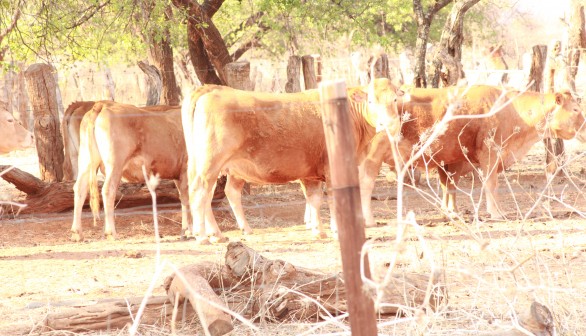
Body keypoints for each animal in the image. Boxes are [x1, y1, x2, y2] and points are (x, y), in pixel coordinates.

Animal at [70, 101, 196, 240]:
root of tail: (103, 105)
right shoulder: (186, 170)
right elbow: (188, 198)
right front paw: (191, 231)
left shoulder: (178, 174)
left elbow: (183, 198)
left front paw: (185, 230)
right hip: (115, 163)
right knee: (108, 190)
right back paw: (111, 232)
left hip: (85, 160)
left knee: (80, 188)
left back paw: (77, 233)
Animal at [182, 79, 402, 244]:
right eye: (371, 101)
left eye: (395, 99)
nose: (389, 124)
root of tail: (212, 88)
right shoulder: (332, 169)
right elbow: (332, 199)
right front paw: (337, 231)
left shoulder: (310, 173)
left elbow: (314, 199)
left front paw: (318, 231)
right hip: (209, 164)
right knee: (199, 193)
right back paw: (202, 236)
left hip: (208, 166)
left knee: (212, 195)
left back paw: (218, 234)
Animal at [358, 85, 584, 224]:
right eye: (575, 109)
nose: (585, 126)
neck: (511, 110)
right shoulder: (490, 154)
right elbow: (490, 184)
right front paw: (496, 212)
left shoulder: (453, 161)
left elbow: (449, 186)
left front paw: (451, 212)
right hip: (372, 156)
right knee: (366, 182)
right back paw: (369, 220)